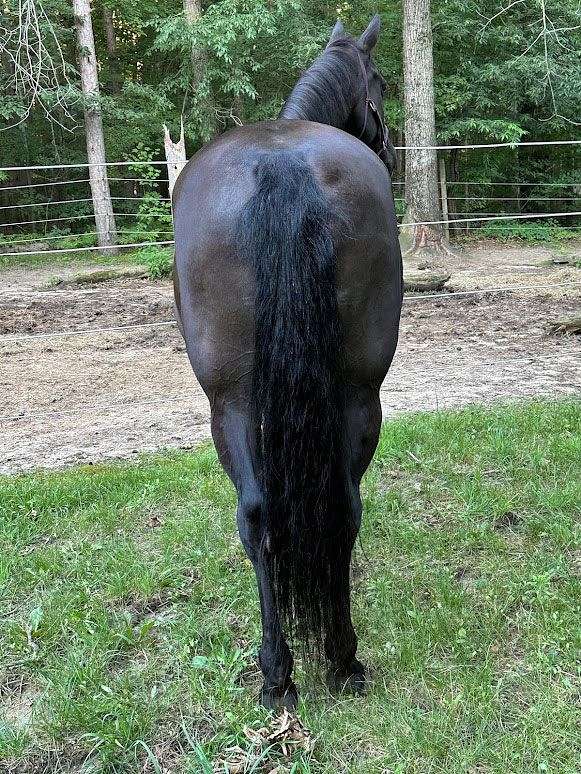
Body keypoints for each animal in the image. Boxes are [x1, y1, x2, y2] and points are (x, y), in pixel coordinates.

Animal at [173, 15, 403, 709]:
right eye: (381, 83)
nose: (390, 144)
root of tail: (281, 166)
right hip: (352, 397)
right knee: (328, 511)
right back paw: (328, 661)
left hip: (236, 407)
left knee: (268, 518)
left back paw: (290, 670)